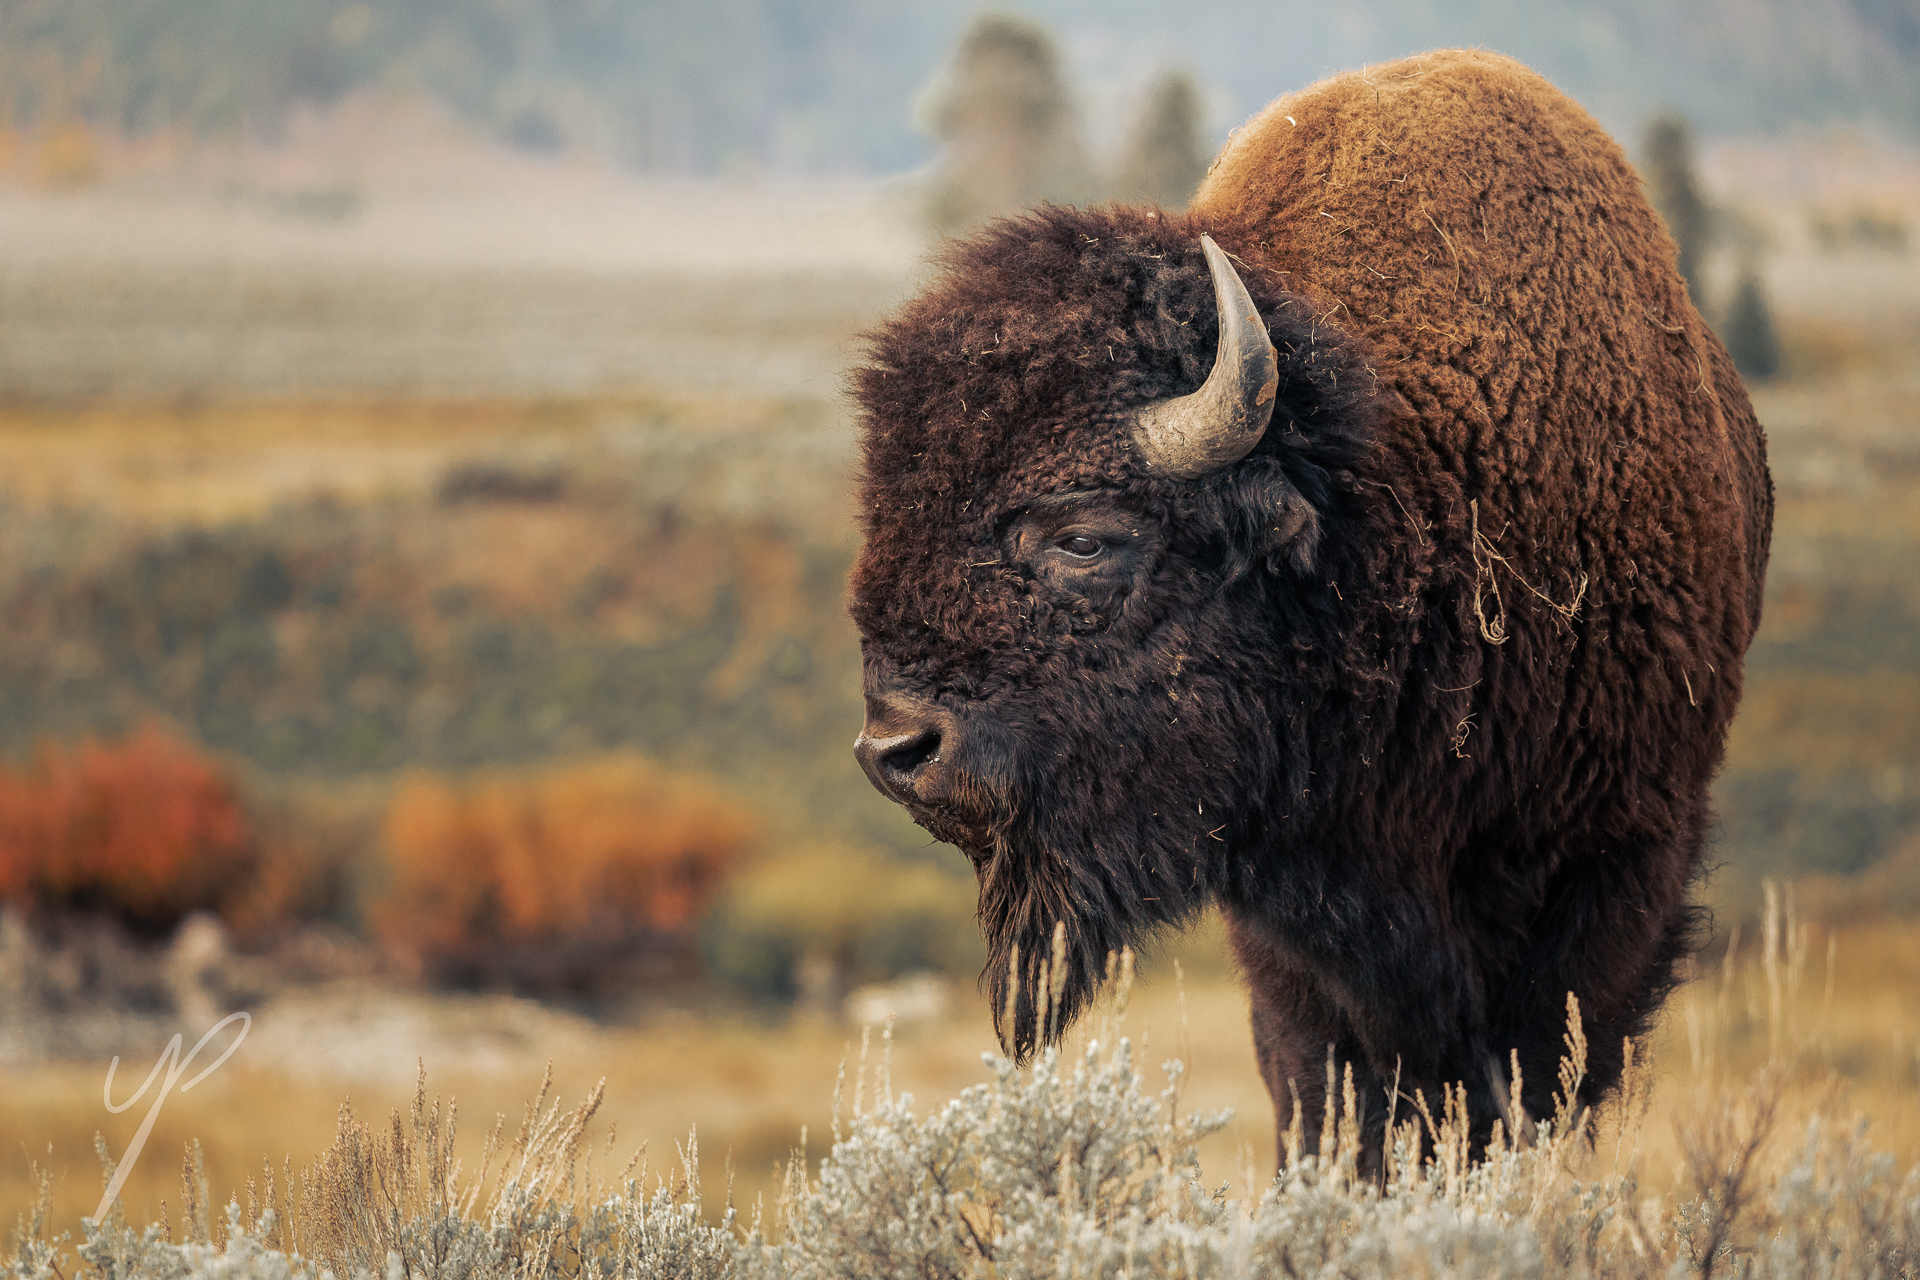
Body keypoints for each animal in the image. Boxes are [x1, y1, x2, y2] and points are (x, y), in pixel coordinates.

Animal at [848, 50, 1774, 1159]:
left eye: (1083, 536)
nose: (896, 747)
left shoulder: (1615, 865)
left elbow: (1541, 1075)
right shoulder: (1291, 925)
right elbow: (1333, 1090)